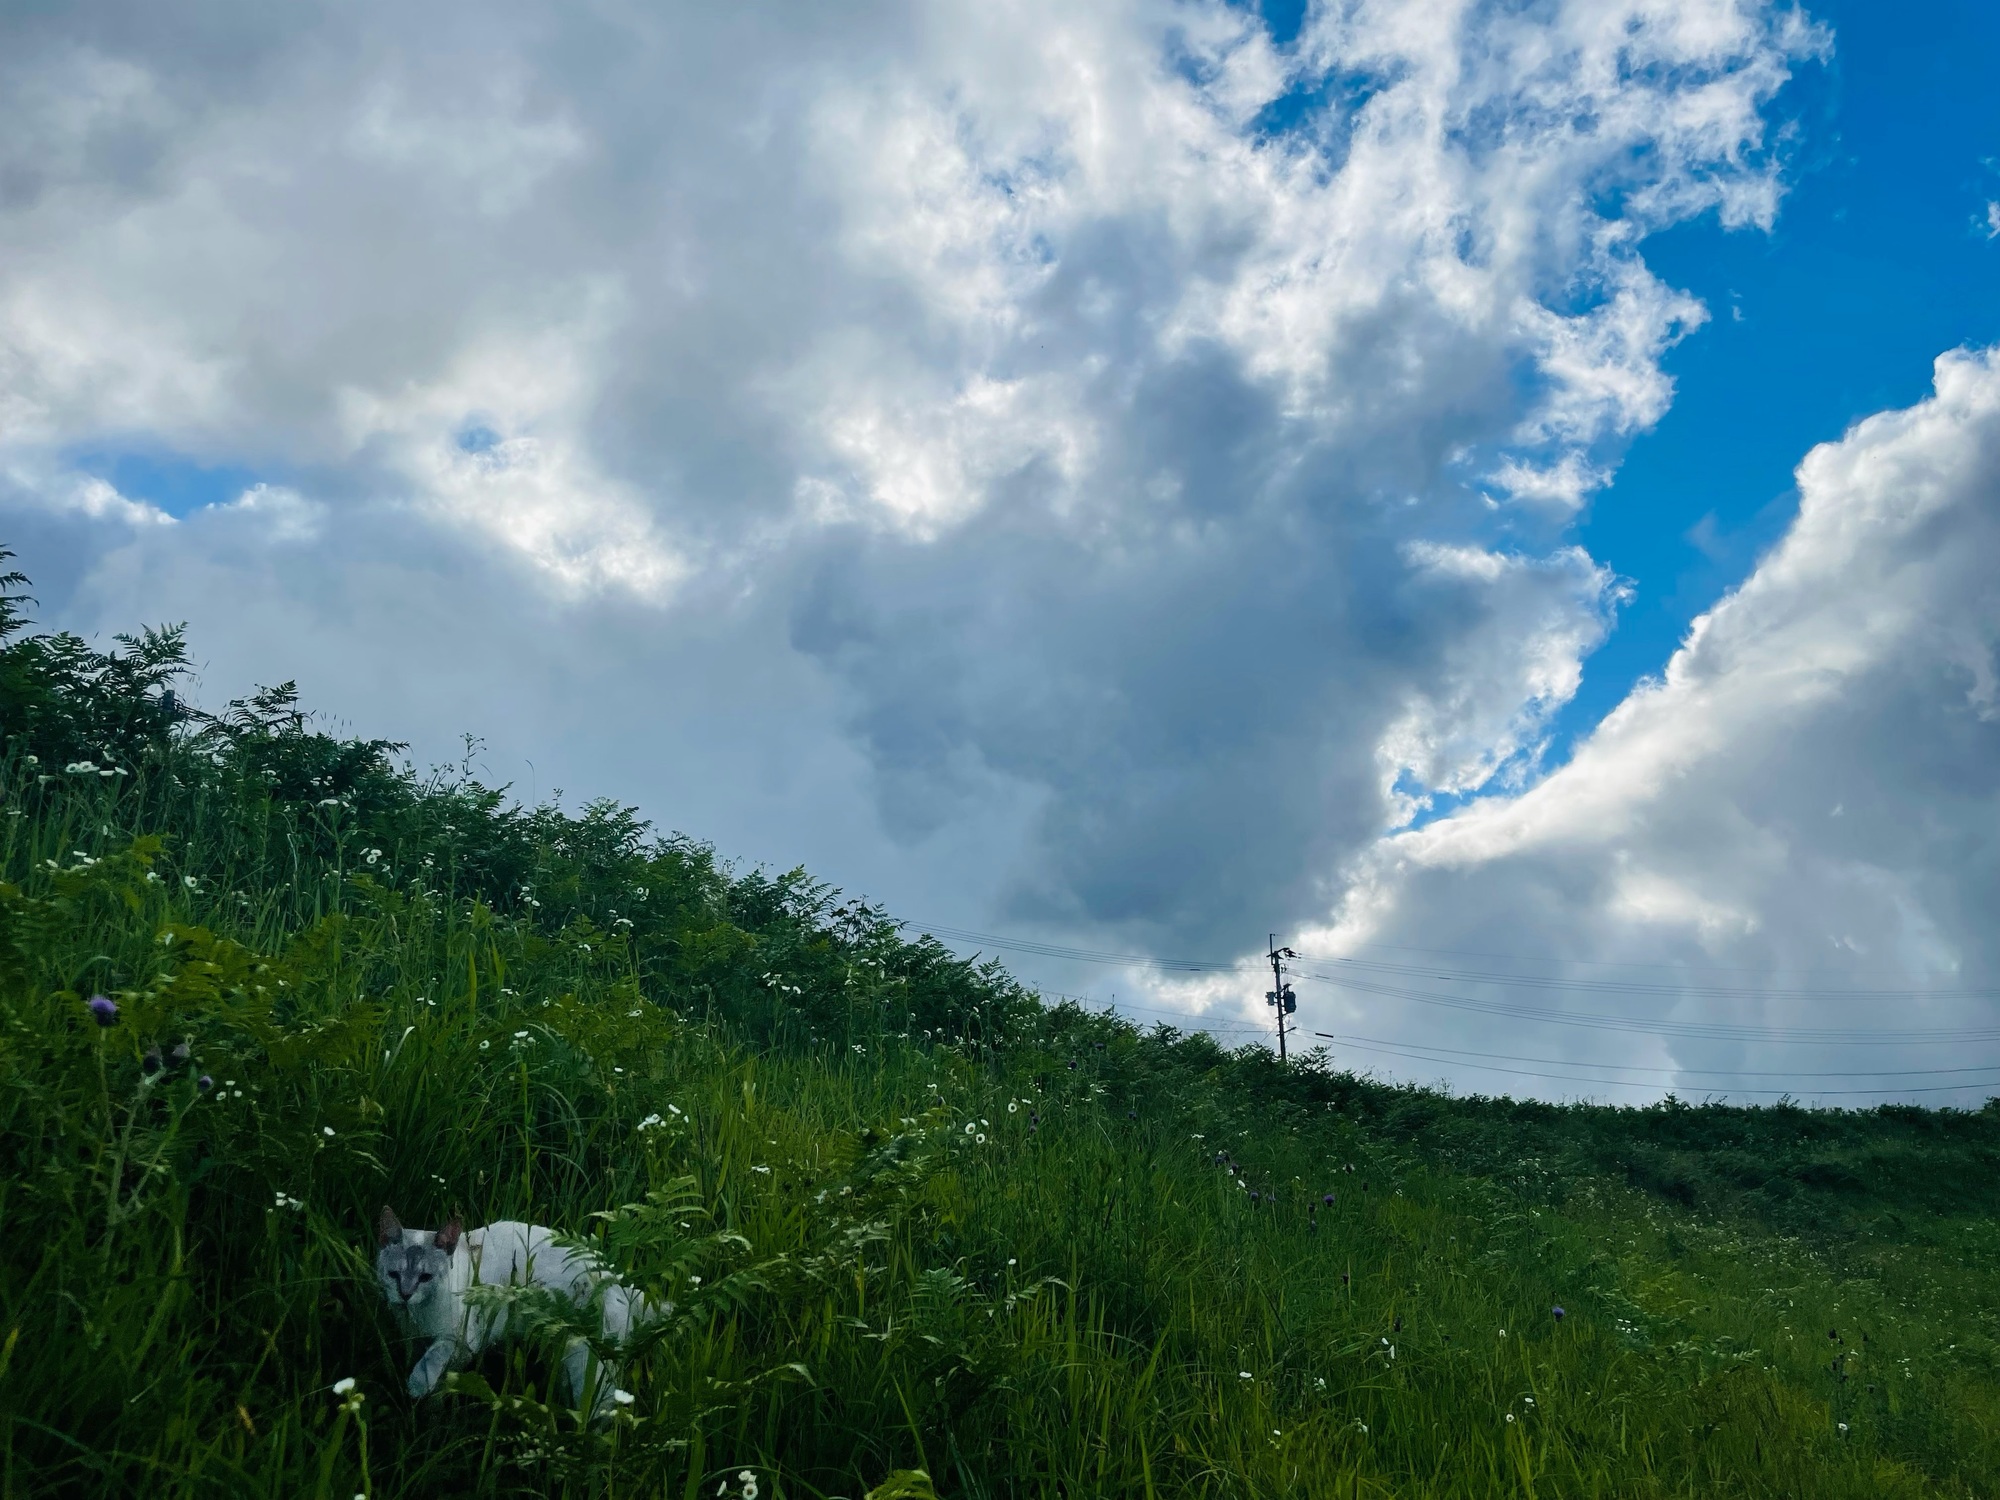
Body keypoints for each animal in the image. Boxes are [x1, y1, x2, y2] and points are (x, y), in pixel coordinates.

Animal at [372, 1208, 652, 1424]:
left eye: (425, 1277)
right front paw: (431, 1412)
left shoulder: (460, 1339)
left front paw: (419, 1386)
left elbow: (433, 1359)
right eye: (393, 1275)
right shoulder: (422, 1342)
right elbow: (440, 1380)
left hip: (585, 1365)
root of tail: (622, 1284)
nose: (405, 1294)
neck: (417, 1316)